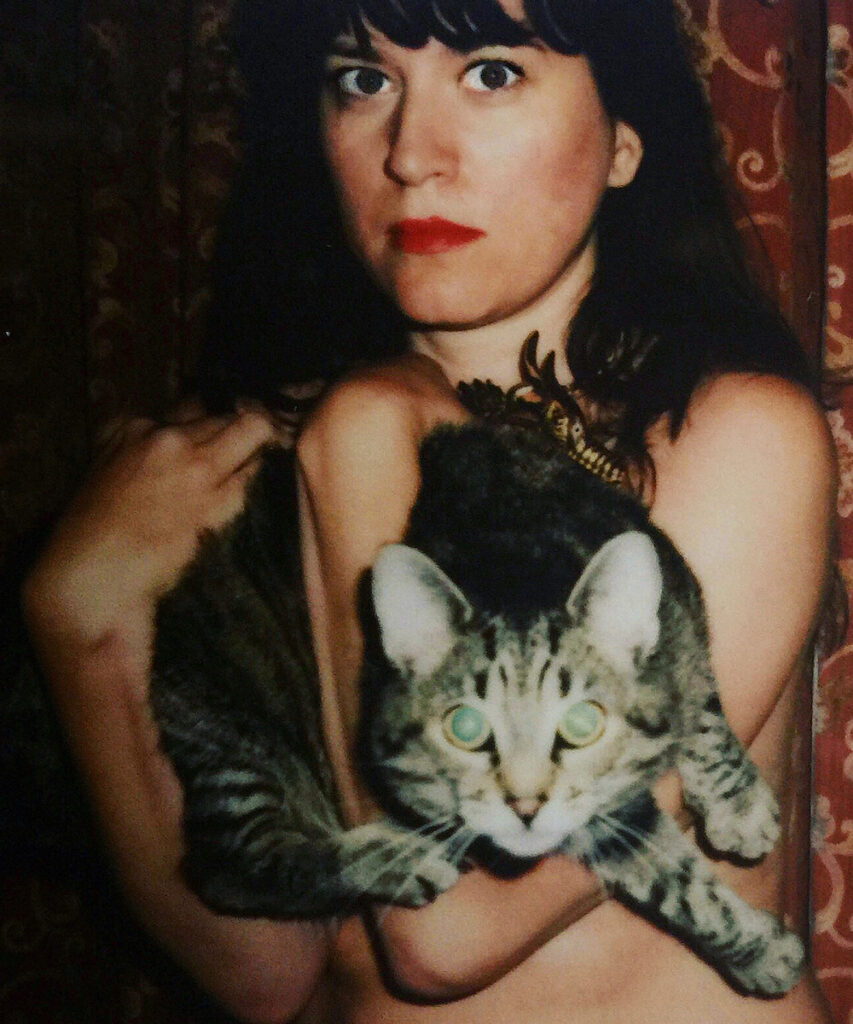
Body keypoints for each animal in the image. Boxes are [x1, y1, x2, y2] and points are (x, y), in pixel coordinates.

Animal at [148, 419, 806, 995]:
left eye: (581, 724)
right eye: (465, 727)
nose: (524, 806)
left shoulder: (678, 613)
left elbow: (699, 727)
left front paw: (738, 812)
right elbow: (677, 886)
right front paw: (759, 948)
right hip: (233, 731)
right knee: (231, 866)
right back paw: (401, 855)